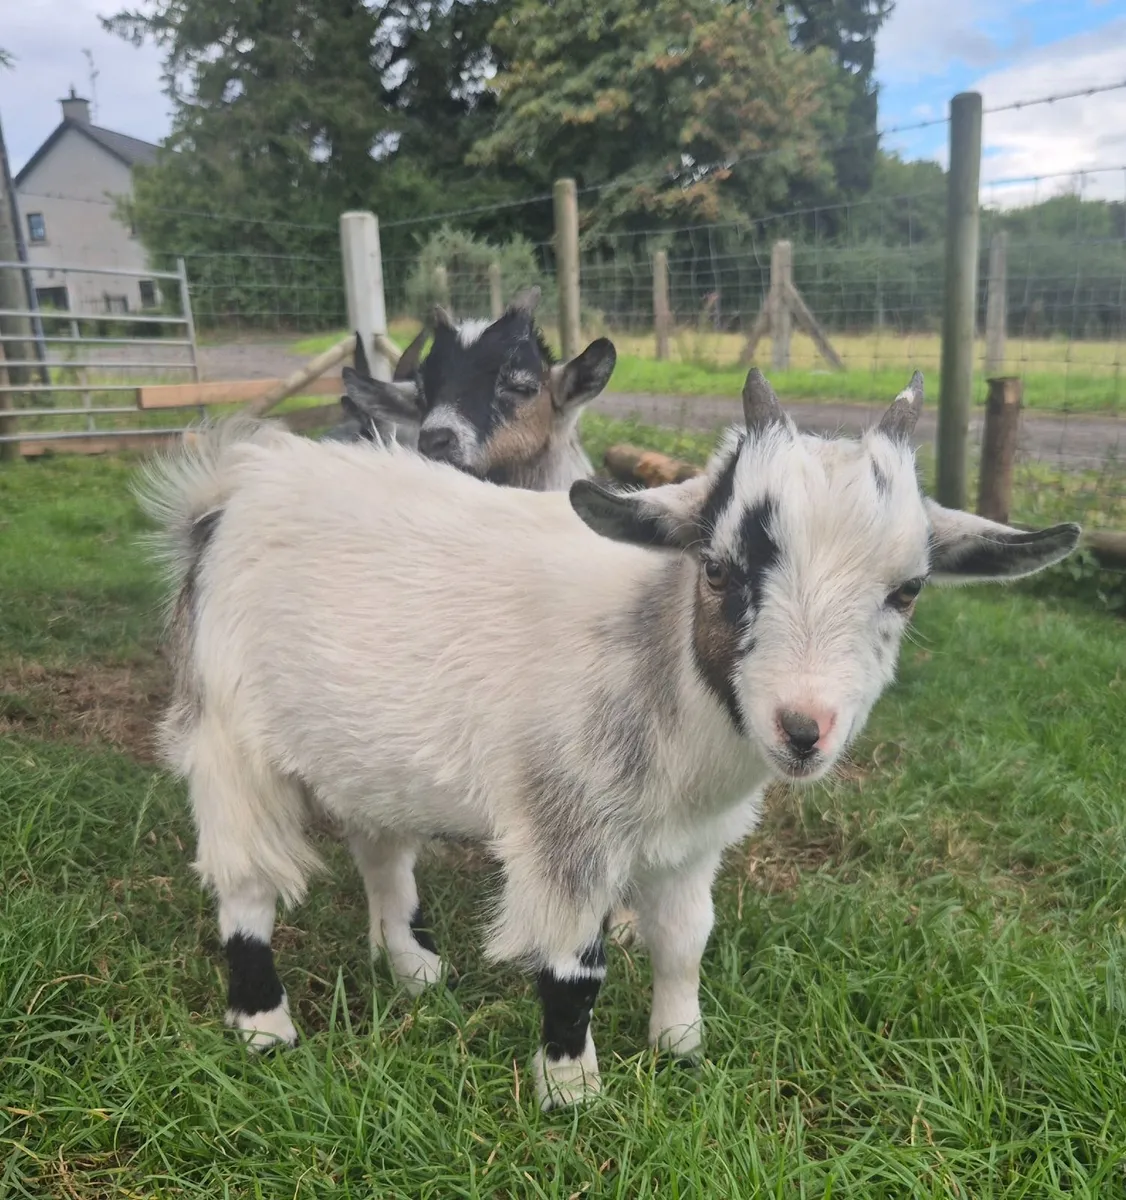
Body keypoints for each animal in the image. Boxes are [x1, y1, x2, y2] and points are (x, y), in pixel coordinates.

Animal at [138, 369, 1079, 1110]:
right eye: (718, 570)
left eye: (908, 590)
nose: (803, 729)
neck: (660, 659)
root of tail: (230, 493)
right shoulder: (566, 822)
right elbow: (573, 963)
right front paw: (571, 1089)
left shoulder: (692, 839)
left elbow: (686, 937)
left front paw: (682, 1046)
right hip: (232, 736)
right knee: (245, 883)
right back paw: (265, 1025)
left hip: (367, 745)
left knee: (380, 849)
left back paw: (409, 965)